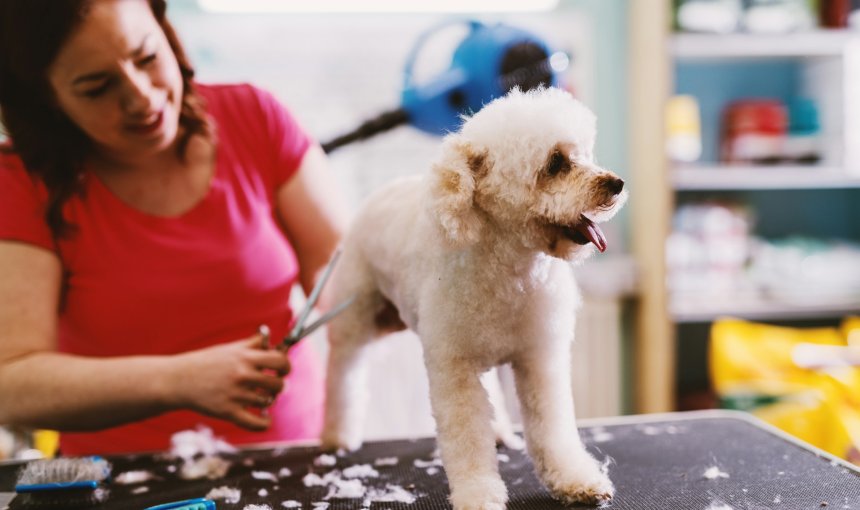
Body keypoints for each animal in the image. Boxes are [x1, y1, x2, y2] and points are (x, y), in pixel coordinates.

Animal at [320, 88, 628, 510]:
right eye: (555, 163)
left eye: (584, 154)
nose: (616, 183)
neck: (511, 270)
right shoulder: (455, 369)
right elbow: (466, 440)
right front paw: (479, 494)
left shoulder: (539, 357)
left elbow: (552, 428)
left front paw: (574, 479)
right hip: (354, 313)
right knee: (343, 372)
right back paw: (337, 434)